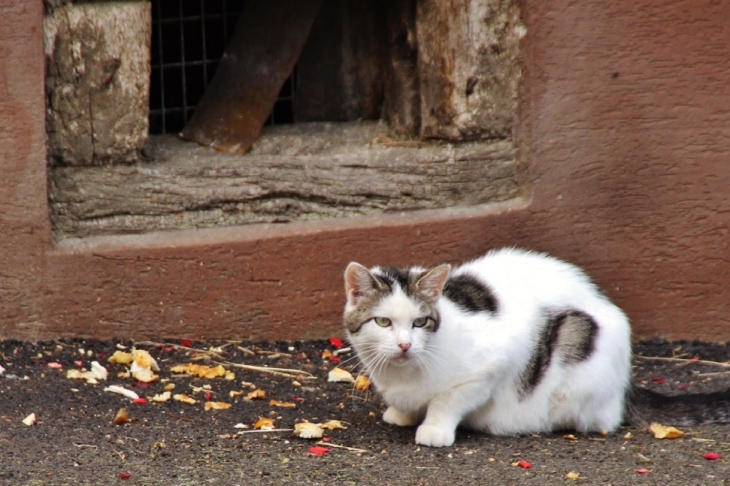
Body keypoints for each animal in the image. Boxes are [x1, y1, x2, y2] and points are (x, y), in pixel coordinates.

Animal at [340, 249, 728, 446]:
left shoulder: (490, 364)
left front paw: (434, 428)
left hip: (575, 349)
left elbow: (448, 400)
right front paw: (402, 413)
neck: (404, 373)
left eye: (420, 323)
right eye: (383, 322)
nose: (405, 345)